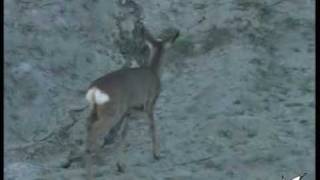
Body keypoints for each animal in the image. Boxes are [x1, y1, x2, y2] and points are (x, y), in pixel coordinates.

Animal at [85, 25, 179, 179]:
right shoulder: (149, 103)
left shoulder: (129, 112)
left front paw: (120, 165)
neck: (153, 72)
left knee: (88, 127)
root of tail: (94, 90)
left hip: (96, 110)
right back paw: (98, 162)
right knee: (95, 130)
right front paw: (156, 154)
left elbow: (124, 135)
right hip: (112, 111)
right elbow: (152, 126)